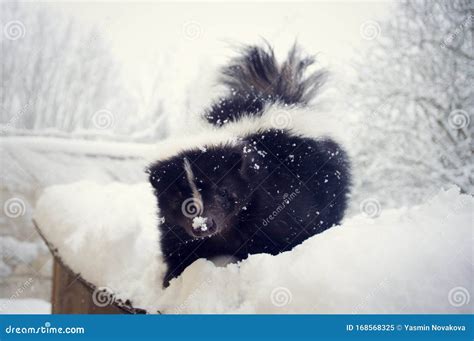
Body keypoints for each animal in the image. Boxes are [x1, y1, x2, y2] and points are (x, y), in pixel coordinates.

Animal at [148, 43, 352, 286]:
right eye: (178, 198)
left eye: (222, 190)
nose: (203, 225)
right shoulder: (175, 228)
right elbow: (178, 248)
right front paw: (172, 280)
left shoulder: (277, 201)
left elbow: (286, 234)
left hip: (328, 181)